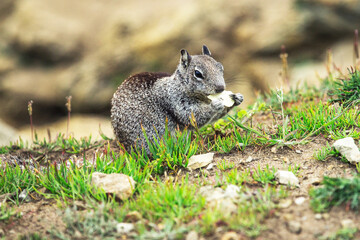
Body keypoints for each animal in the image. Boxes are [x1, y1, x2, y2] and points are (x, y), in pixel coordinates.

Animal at [111, 45, 243, 154]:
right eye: (198, 73)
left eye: (221, 67)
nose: (221, 88)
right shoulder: (176, 102)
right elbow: (192, 117)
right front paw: (215, 105)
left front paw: (237, 98)